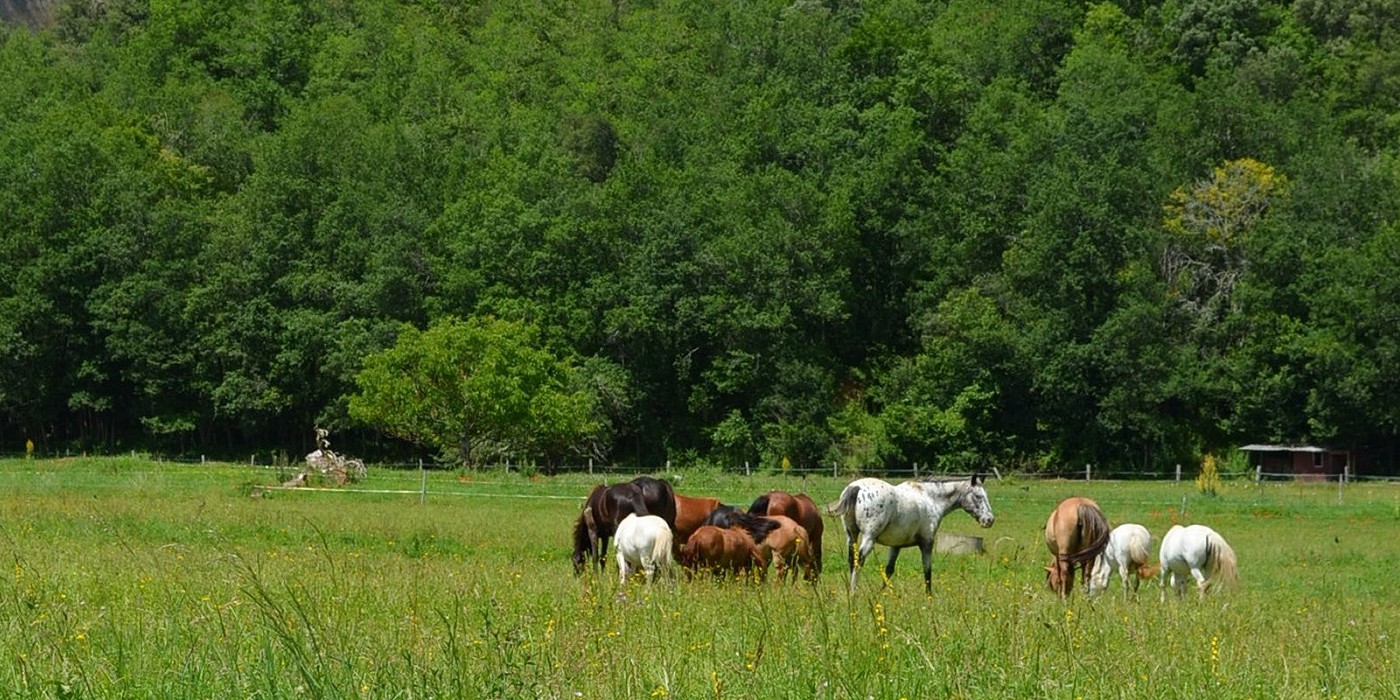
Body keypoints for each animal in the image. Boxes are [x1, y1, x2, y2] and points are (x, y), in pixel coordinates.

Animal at [828, 473, 996, 593]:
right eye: (978, 496)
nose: (989, 520)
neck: (930, 498)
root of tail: (856, 487)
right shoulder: (927, 543)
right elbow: (927, 571)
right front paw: (929, 597)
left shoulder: (896, 545)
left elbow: (888, 570)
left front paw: (881, 595)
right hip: (869, 538)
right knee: (859, 560)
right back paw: (854, 592)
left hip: (851, 536)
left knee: (852, 560)